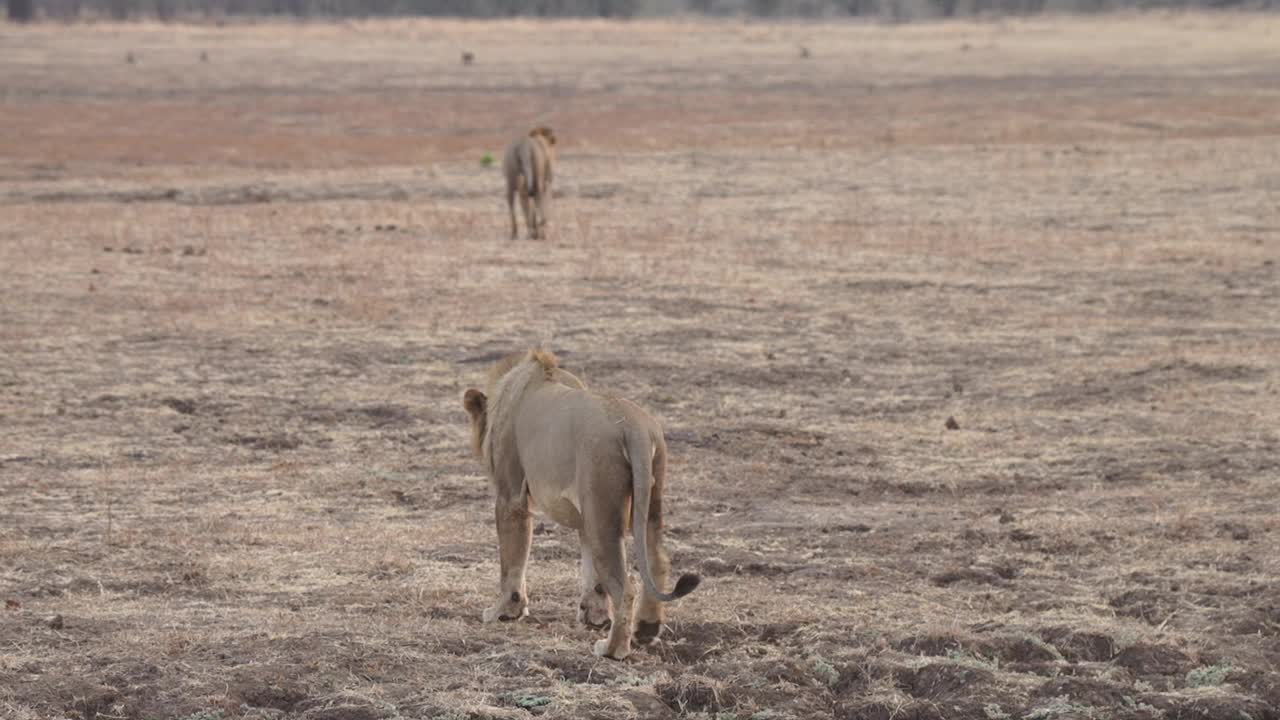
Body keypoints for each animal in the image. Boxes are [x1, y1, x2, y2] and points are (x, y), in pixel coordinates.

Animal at [460, 348, 701, 655]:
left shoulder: (510, 496)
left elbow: (511, 560)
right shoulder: (586, 514)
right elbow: (591, 574)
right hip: (641, 504)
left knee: (625, 588)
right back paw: (645, 630)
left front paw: (503, 612)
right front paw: (593, 616)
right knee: (657, 561)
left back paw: (612, 650)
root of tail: (632, 426)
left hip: (602, 510)